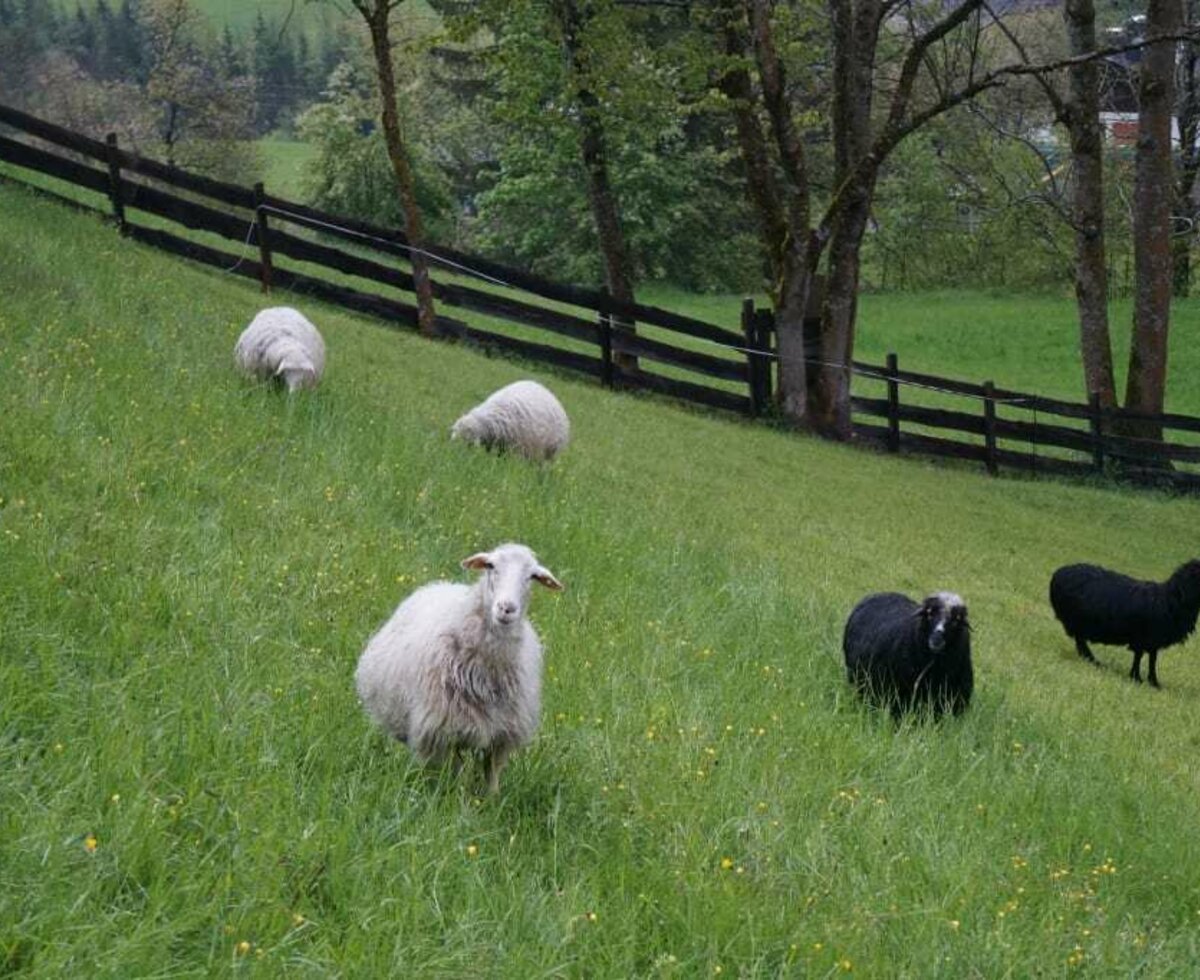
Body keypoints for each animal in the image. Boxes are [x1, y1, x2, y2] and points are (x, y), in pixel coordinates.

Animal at [352, 542, 564, 796]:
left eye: (532, 576)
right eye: (491, 566)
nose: (507, 608)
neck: (488, 669)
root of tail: (441, 585)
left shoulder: (501, 736)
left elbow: (492, 776)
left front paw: (491, 801)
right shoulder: (444, 730)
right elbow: (458, 777)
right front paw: (459, 801)